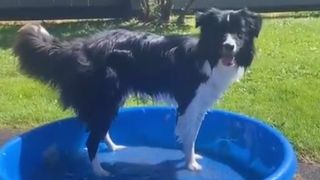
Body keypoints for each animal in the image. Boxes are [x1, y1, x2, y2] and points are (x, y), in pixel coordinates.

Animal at [13, 7, 262, 176]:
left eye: (239, 34)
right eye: (220, 33)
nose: (229, 46)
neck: (208, 56)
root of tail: (79, 47)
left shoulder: (200, 105)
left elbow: (192, 135)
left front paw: (189, 157)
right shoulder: (188, 103)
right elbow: (189, 135)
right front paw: (191, 164)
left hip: (108, 101)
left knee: (98, 131)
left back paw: (114, 147)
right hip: (106, 100)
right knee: (91, 140)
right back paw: (100, 171)